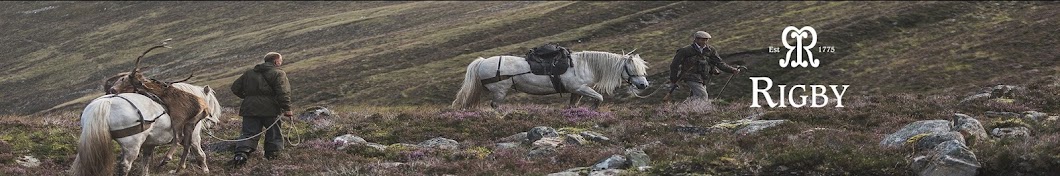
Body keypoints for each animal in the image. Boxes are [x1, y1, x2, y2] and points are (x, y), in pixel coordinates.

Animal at [72, 82, 221, 176]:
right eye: (212, 103)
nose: (214, 123)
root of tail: (106, 103)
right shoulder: (194, 136)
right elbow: (200, 154)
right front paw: (205, 171)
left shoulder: (149, 144)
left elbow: (145, 163)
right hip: (132, 146)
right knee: (125, 166)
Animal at [451, 50, 648, 109]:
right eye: (632, 69)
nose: (643, 84)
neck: (584, 65)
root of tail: (482, 61)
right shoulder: (580, 88)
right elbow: (598, 98)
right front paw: (593, 109)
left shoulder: (575, 92)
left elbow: (572, 106)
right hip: (500, 91)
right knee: (495, 106)